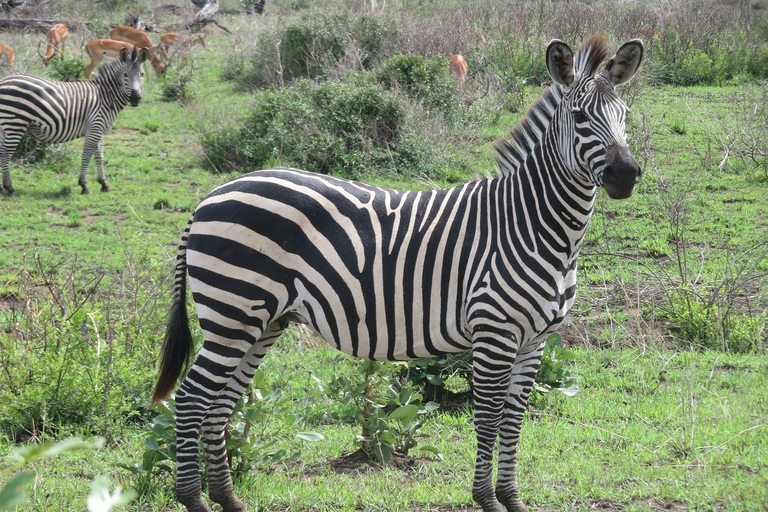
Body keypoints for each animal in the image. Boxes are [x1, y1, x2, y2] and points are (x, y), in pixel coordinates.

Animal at [0, 45, 147, 196]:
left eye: (142, 74)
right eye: (125, 75)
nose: (136, 98)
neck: (105, 96)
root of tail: (5, 79)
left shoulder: (99, 129)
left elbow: (99, 155)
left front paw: (103, 183)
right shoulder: (95, 126)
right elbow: (87, 155)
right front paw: (84, 185)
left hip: (5, 126)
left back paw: (2, 187)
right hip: (15, 124)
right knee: (6, 152)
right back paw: (9, 188)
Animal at [150, 36, 640, 512]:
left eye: (625, 116)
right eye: (579, 117)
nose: (626, 174)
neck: (535, 225)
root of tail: (211, 195)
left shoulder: (535, 339)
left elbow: (514, 420)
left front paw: (512, 499)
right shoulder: (495, 331)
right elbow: (488, 417)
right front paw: (487, 500)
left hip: (263, 320)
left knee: (221, 403)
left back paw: (228, 499)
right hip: (232, 312)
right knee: (191, 399)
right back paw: (194, 499)